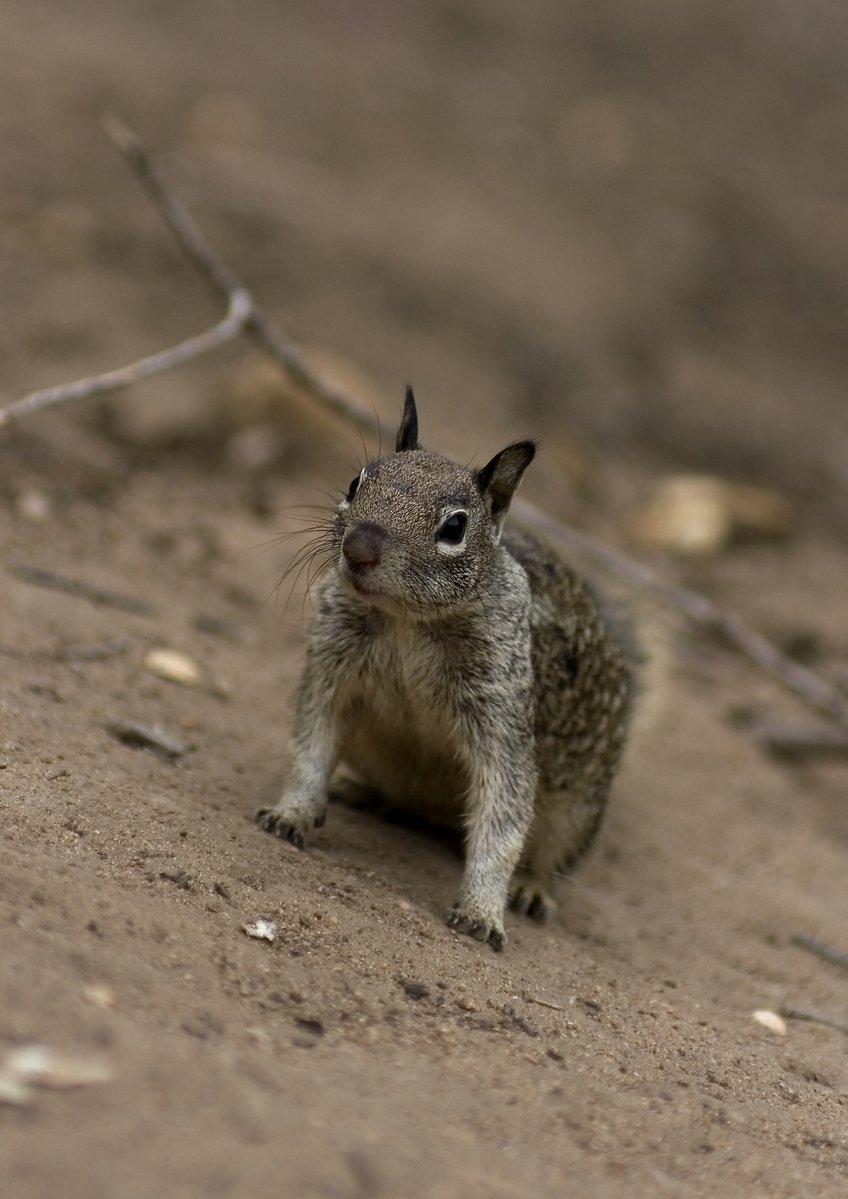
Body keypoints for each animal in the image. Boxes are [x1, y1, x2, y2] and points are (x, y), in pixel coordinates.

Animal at [259, 388, 642, 949]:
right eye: (356, 482)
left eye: (455, 527)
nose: (358, 547)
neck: (407, 622)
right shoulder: (331, 670)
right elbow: (310, 748)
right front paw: (291, 813)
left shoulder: (502, 715)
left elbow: (504, 818)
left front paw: (482, 911)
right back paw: (363, 793)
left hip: (576, 812)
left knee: (550, 858)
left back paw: (532, 889)